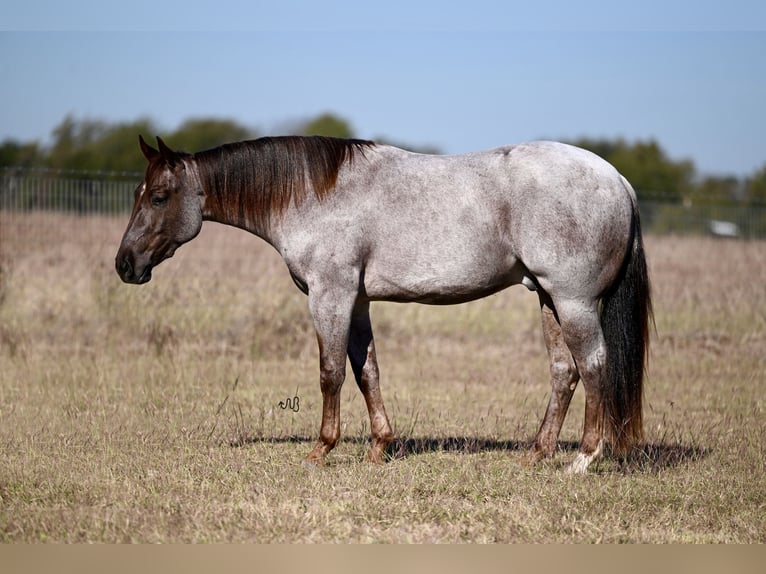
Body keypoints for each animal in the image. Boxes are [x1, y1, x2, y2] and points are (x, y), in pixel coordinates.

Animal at [115, 134, 656, 472]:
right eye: (139, 193)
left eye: (159, 196)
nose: (125, 264)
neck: (314, 194)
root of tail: (619, 181)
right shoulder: (356, 301)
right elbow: (366, 370)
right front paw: (379, 446)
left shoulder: (330, 294)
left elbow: (330, 372)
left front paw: (321, 449)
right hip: (546, 298)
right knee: (564, 371)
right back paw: (537, 454)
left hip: (573, 301)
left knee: (594, 365)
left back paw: (583, 458)